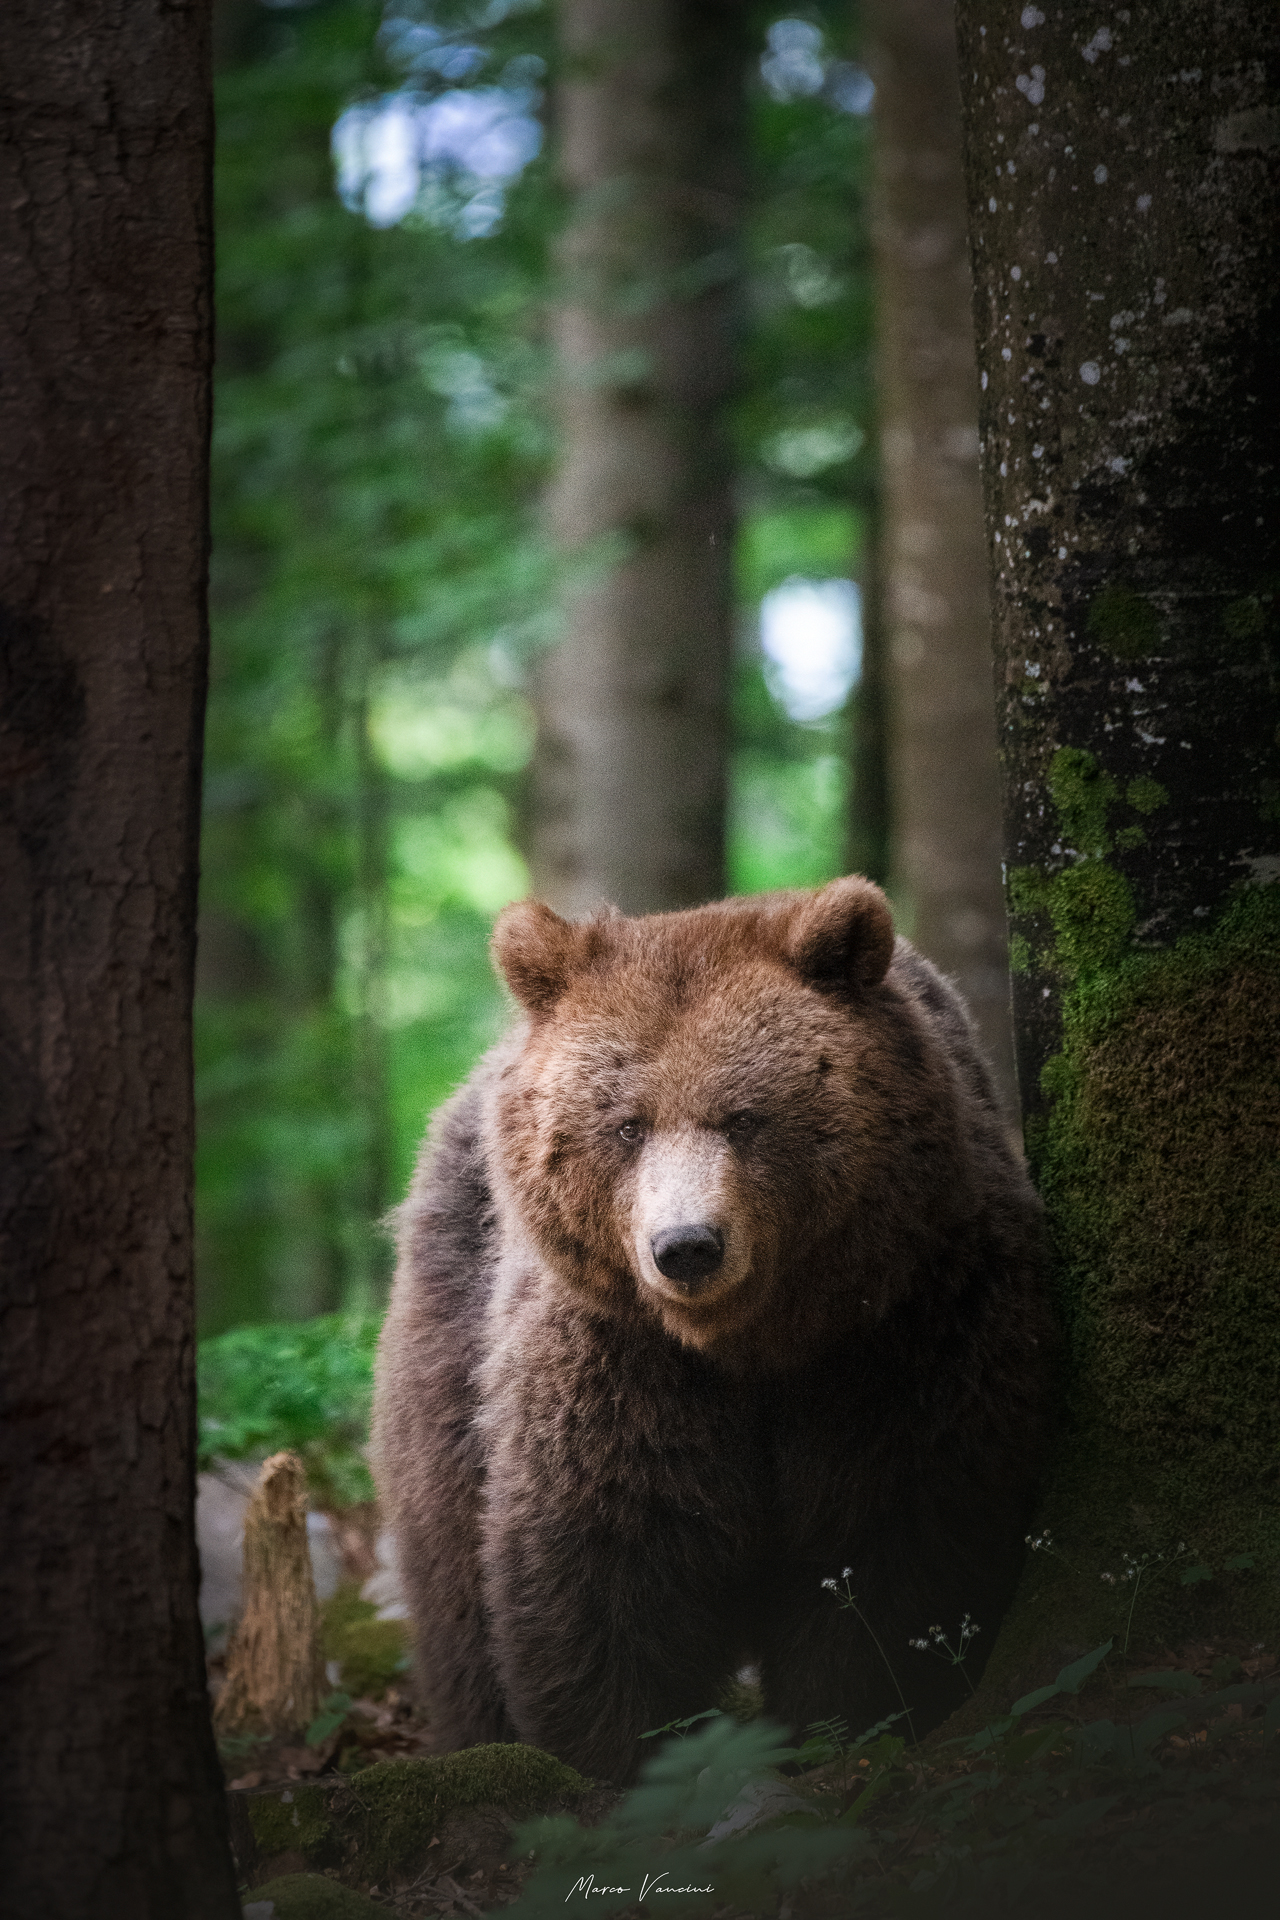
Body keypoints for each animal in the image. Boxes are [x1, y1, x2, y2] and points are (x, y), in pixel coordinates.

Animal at [372, 876, 1052, 1783]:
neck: (753, 1343)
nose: (686, 1246)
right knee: (451, 1573)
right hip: (450, 1327)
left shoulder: (910, 1326)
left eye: (745, 1116)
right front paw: (630, 1756)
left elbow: (892, 1549)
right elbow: (608, 1570)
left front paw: (846, 1721)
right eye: (626, 1123)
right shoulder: (619, 1362)